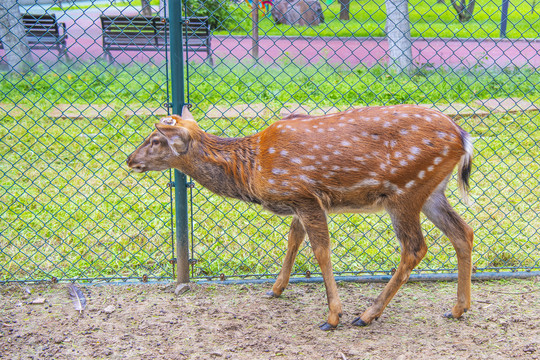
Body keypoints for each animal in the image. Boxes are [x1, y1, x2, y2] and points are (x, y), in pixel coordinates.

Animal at [126, 103, 472, 330]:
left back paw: (367, 314)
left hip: (404, 191)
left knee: (415, 247)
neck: (251, 169)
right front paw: (276, 288)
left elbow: (320, 250)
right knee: (463, 232)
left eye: (155, 139)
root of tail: (463, 137)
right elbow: (294, 238)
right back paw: (457, 308)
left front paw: (332, 317)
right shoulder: (298, 201)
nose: (129, 159)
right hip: (431, 191)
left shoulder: (304, 195)